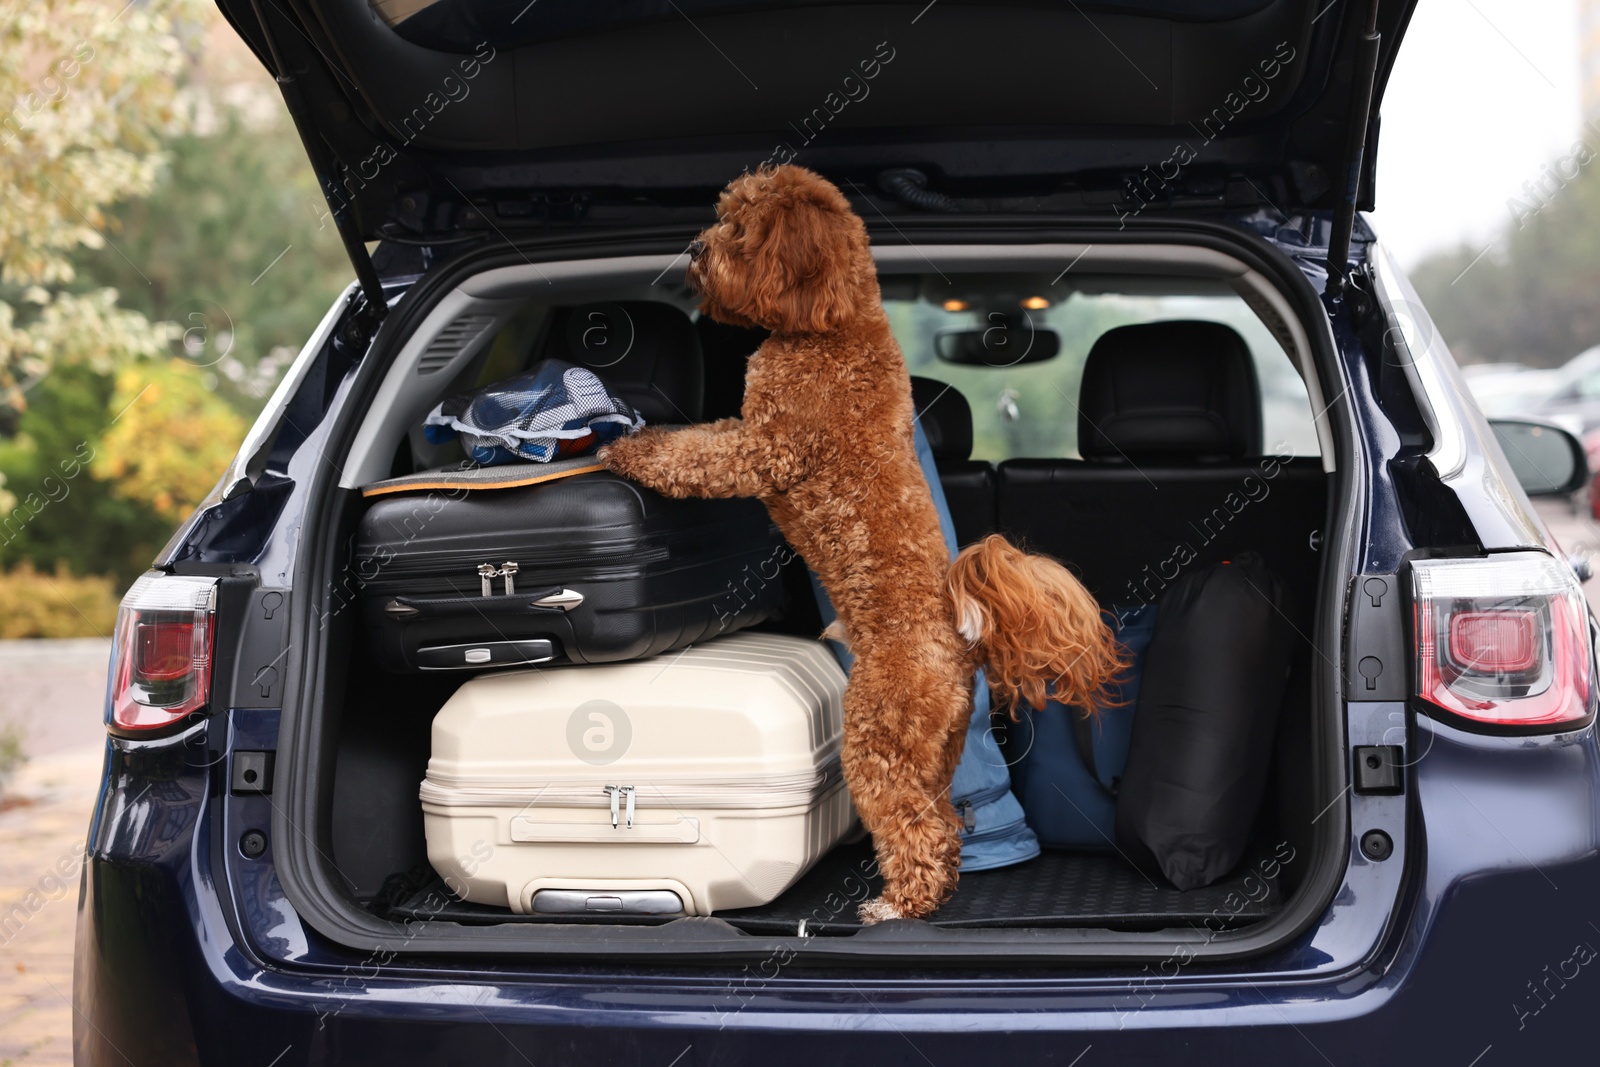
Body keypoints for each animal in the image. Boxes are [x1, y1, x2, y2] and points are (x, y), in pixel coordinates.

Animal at [601, 167, 1126, 927]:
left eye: (740, 228)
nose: (695, 248)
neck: (832, 324)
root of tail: (959, 642)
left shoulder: (766, 448)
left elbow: (693, 452)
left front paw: (630, 448)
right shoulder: (756, 432)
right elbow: (701, 436)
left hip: (877, 738)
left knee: (915, 828)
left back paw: (897, 904)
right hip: (930, 751)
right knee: (943, 823)